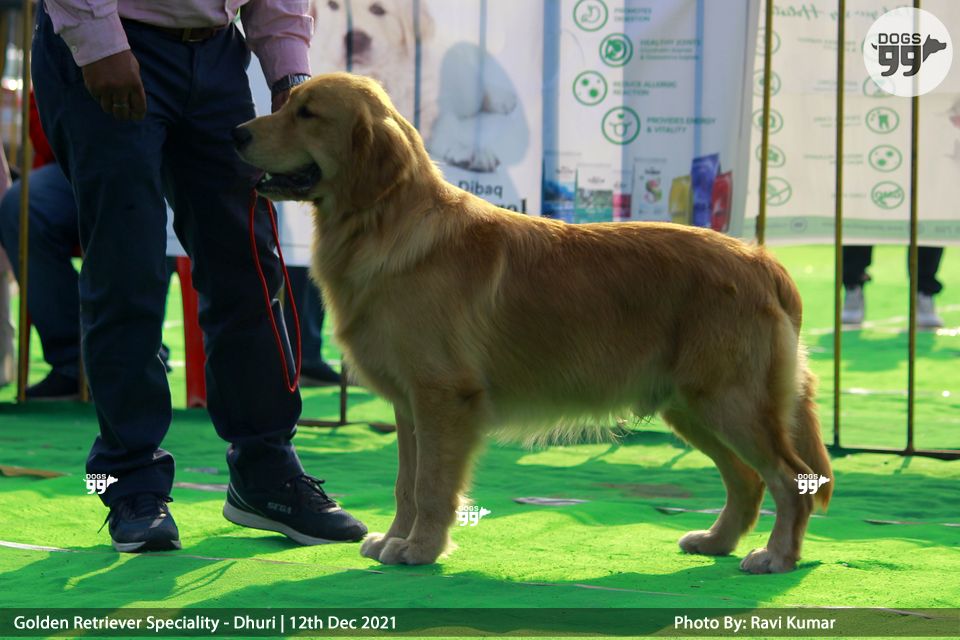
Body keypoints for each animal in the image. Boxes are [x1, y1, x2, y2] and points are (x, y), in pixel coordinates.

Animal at [234, 73, 833, 573]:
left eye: (307, 113)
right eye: (286, 104)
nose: (237, 133)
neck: (384, 223)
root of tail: (762, 260)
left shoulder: (443, 397)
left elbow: (430, 485)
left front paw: (421, 549)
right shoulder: (409, 406)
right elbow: (405, 482)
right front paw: (396, 539)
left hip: (729, 400)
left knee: (789, 479)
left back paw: (776, 557)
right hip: (690, 404)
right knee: (749, 479)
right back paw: (715, 541)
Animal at [311, 0, 519, 172]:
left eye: (378, 9)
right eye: (333, 5)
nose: (355, 39)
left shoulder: (432, 109)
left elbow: (449, 131)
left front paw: (469, 149)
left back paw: (502, 98)